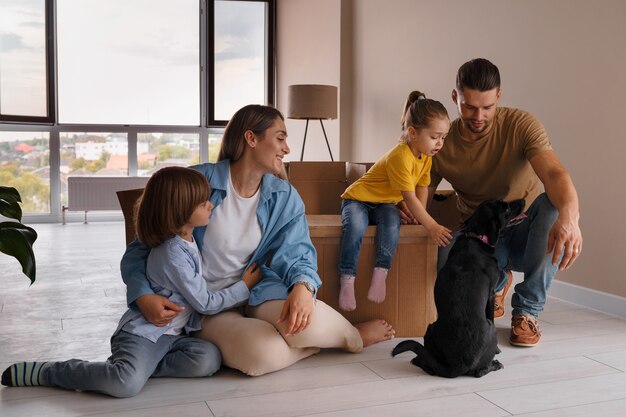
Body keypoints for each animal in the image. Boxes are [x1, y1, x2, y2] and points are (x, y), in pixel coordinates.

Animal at [392, 198, 524, 376]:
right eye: (507, 209)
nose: (523, 201)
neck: (476, 236)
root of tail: (458, 364)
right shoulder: (490, 294)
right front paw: (497, 351)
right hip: (489, 329)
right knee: (479, 372)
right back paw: (495, 364)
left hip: (430, 328)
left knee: (431, 366)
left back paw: (418, 360)